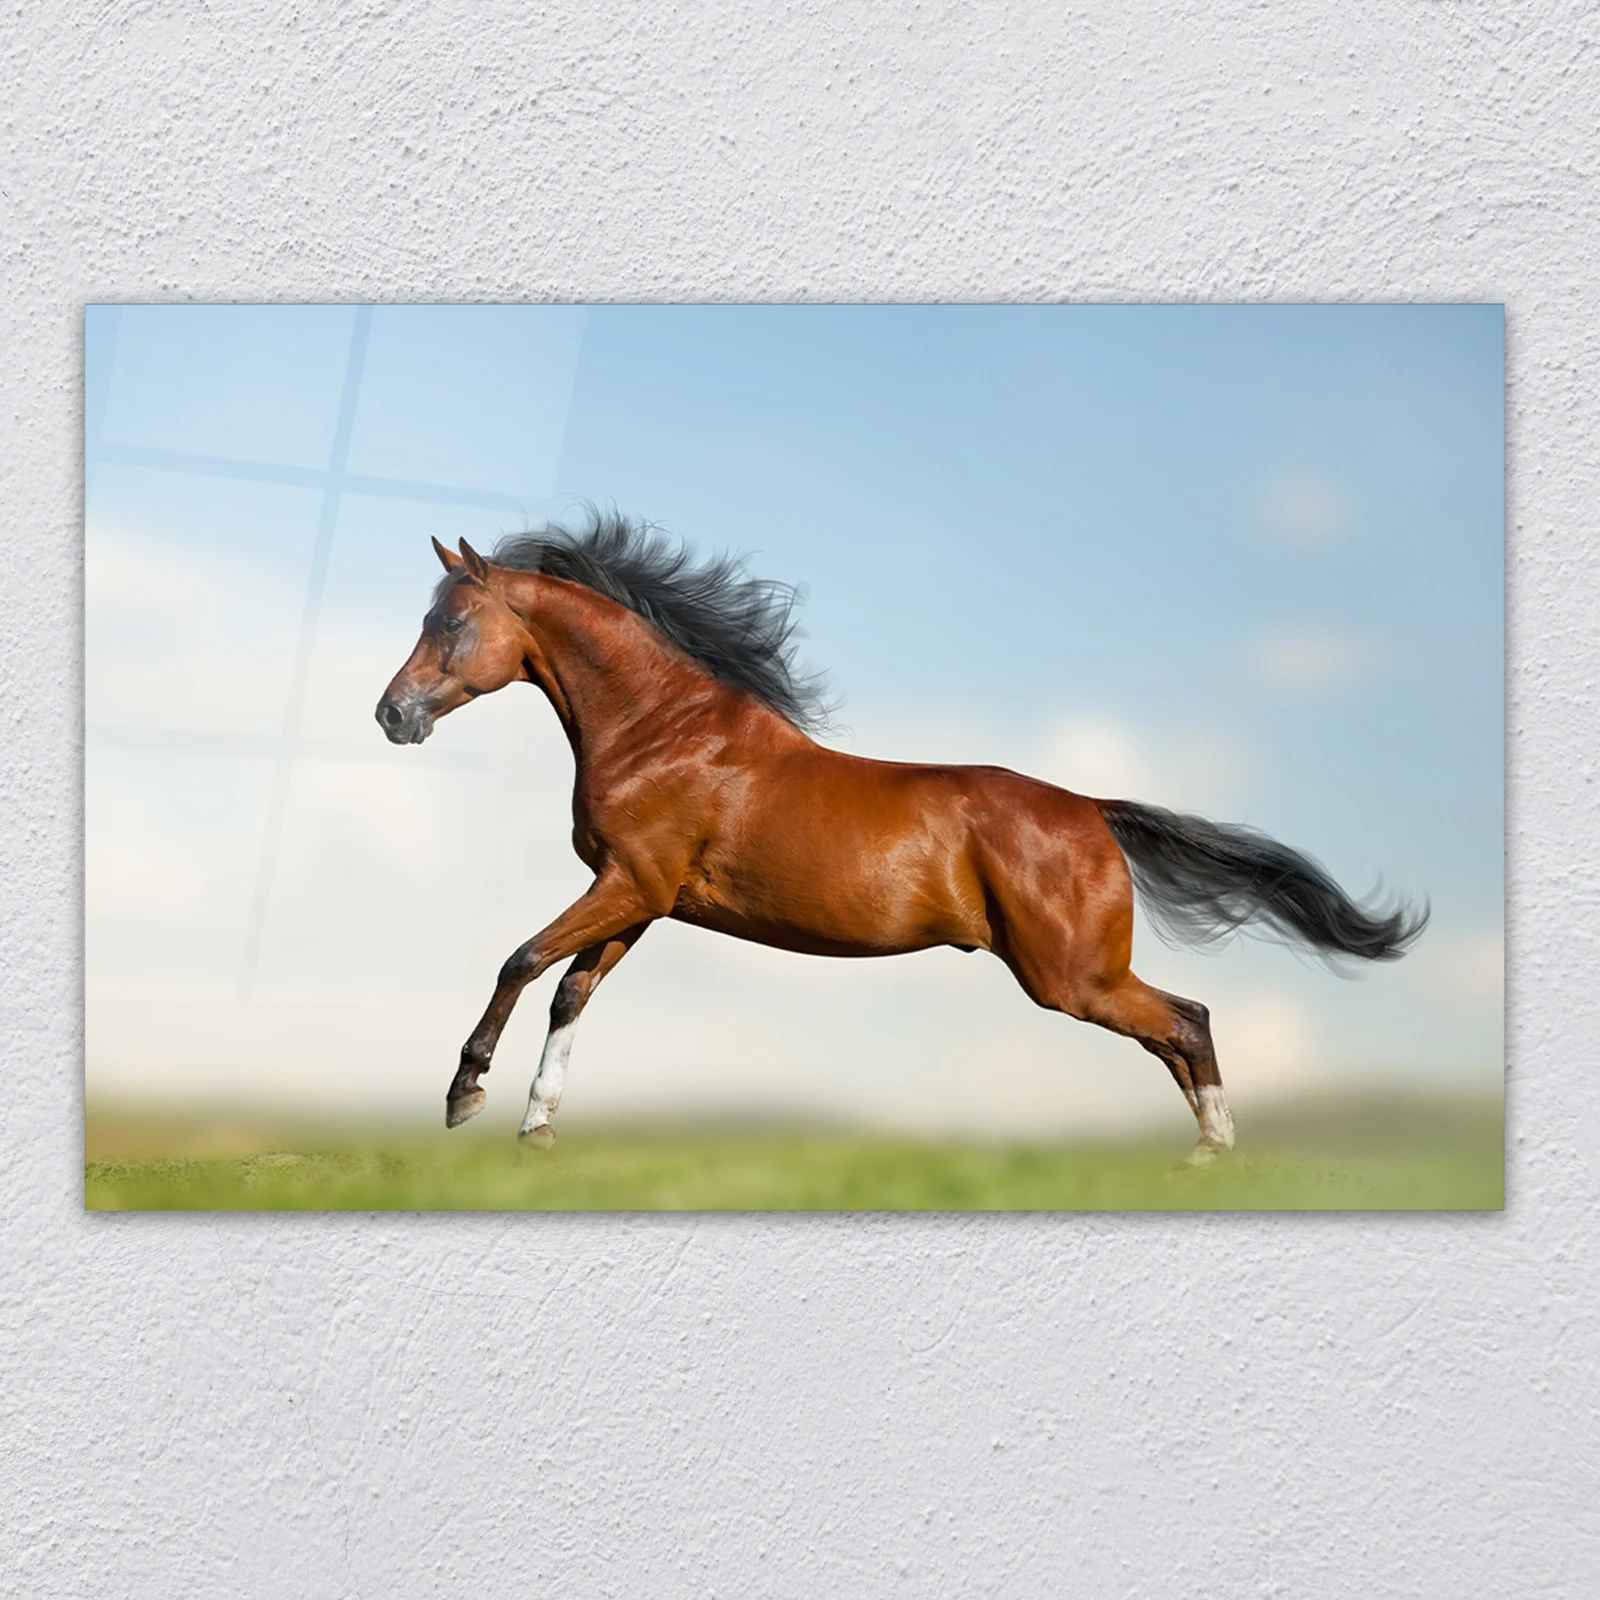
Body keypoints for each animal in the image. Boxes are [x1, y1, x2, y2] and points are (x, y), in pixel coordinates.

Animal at [376, 511, 1426, 1163]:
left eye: (452, 621)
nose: (391, 715)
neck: (660, 730)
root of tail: (1090, 809)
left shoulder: (630, 884)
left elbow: (521, 960)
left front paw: (465, 1096)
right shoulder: (643, 898)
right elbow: (570, 993)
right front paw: (536, 1131)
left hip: (1070, 976)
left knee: (1187, 1021)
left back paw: (1213, 1154)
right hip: (1076, 977)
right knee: (1176, 1032)